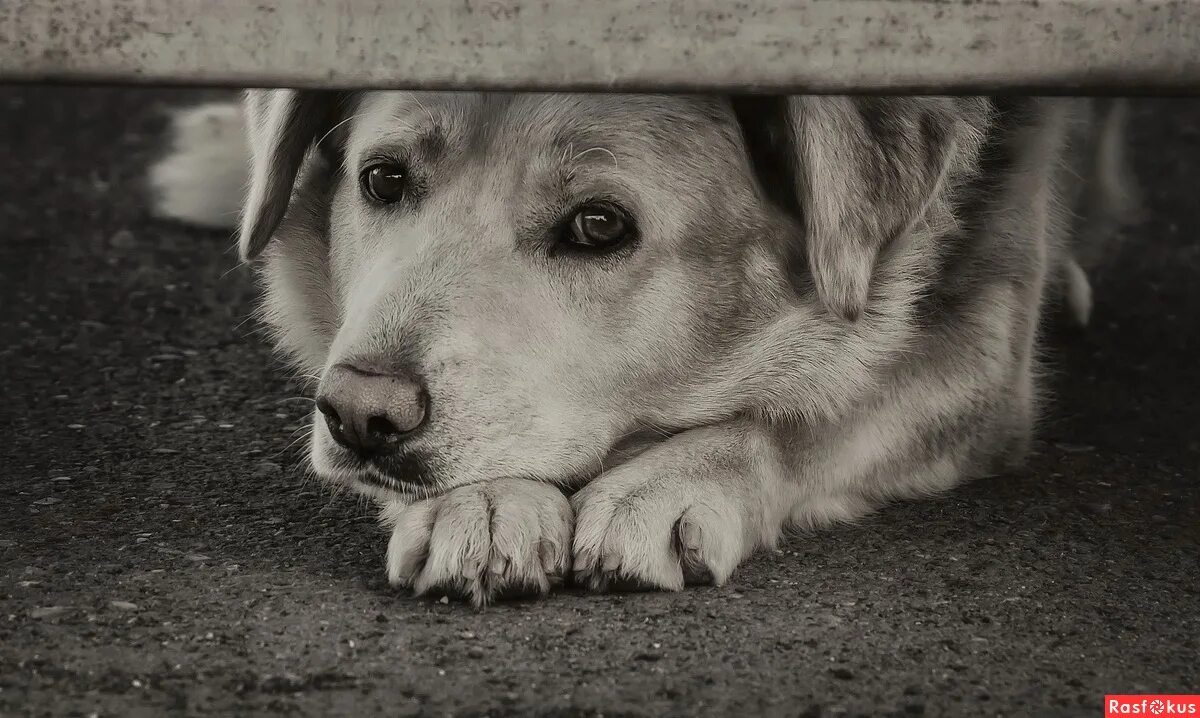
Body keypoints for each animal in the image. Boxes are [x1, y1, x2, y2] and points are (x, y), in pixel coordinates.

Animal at [150, 90, 1132, 607]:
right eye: (384, 179)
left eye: (598, 226)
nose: (359, 415)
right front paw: (490, 502)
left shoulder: (985, 353)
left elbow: (813, 412)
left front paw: (670, 479)